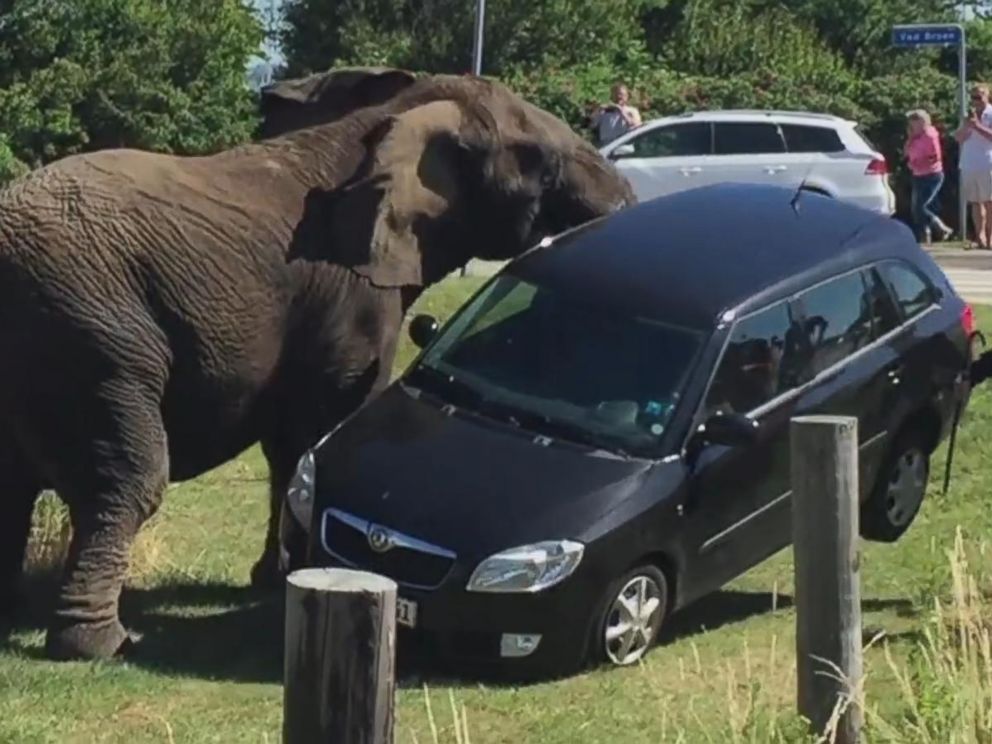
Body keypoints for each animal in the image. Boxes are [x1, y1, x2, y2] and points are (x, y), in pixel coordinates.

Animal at [0, 70, 636, 660]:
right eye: (542, 163)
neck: (389, 119)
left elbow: (290, 444)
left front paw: (274, 578)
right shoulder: (350, 294)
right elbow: (320, 427)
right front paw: (286, 578)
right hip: (95, 340)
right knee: (128, 483)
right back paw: (100, 644)